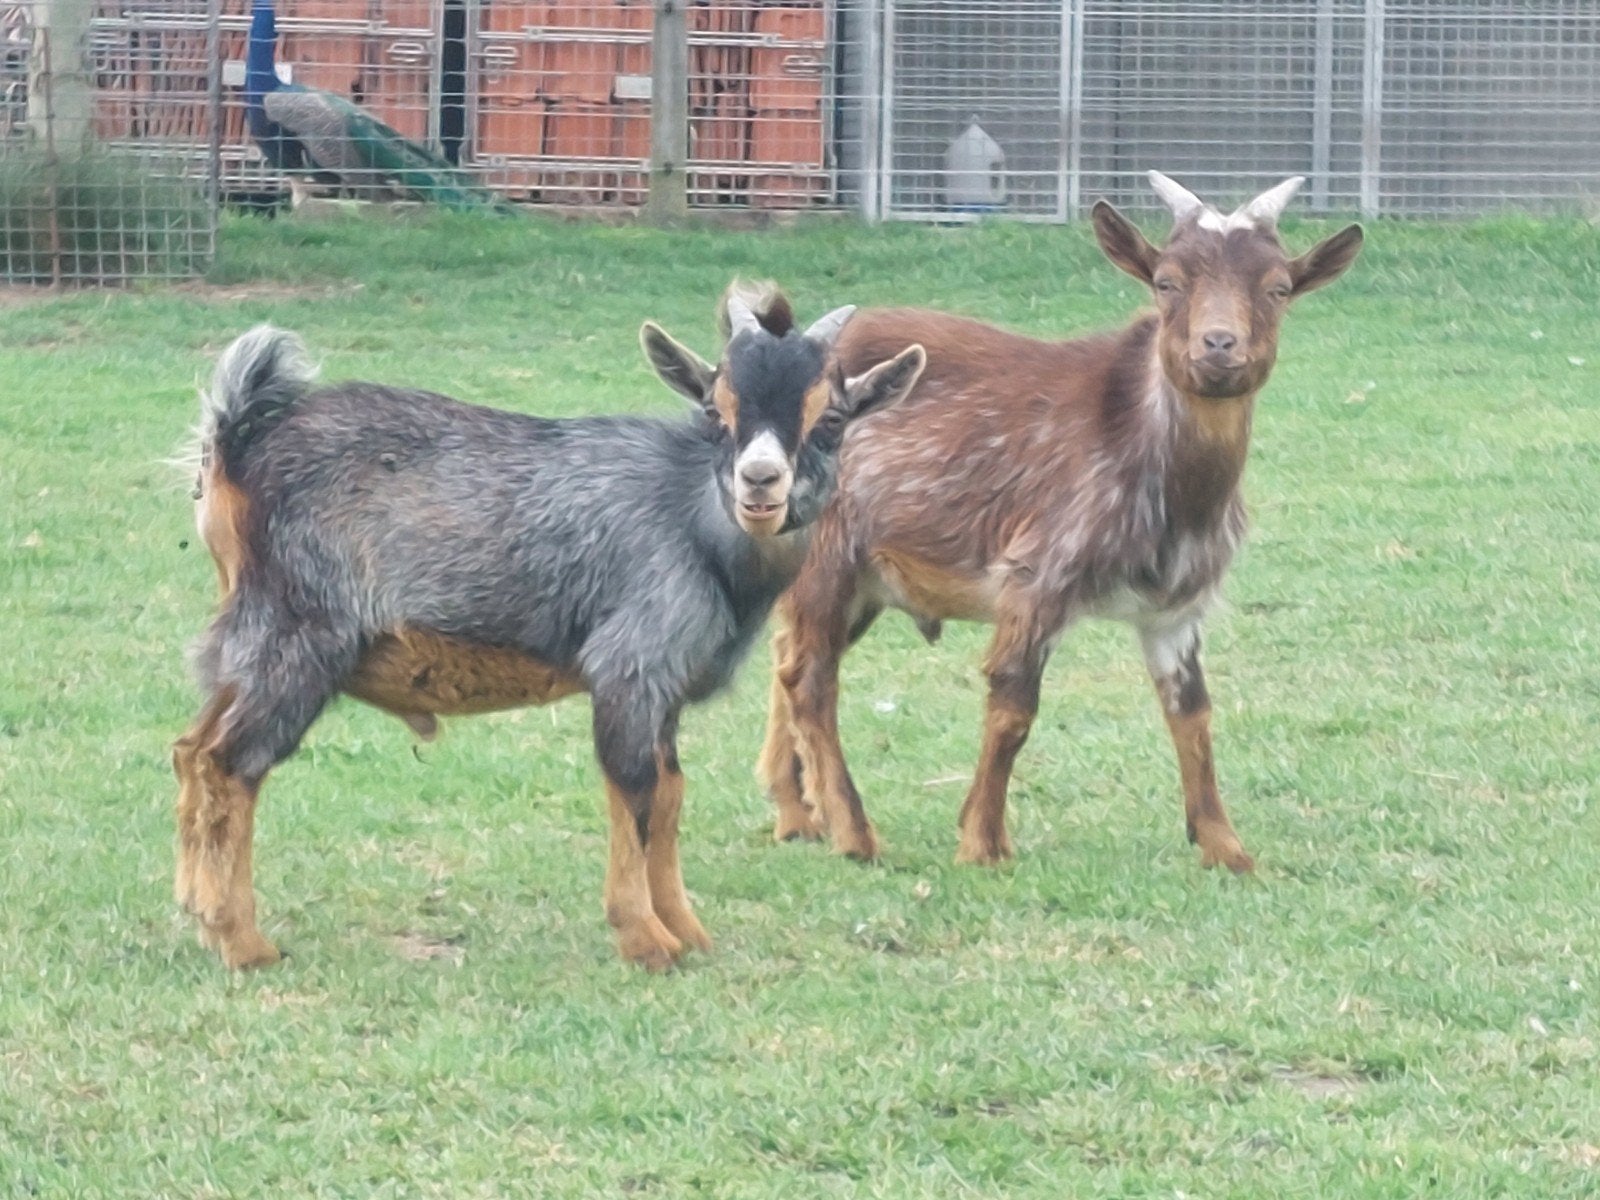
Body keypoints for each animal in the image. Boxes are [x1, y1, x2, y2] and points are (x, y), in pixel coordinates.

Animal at [172, 287, 926, 971]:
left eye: (831, 417)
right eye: (717, 409)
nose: (760, 482)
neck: (691, 521)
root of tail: (235, 441)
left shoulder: (667, 688)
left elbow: (670, 794)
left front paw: (687, 930)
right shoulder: (629, 664)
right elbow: (634, 790)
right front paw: (645, 939)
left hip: (247, 643)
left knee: (191, 747)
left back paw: (194, 908)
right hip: (299, 639)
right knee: (232, 762)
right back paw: (241, 941)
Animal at [758, 173, 1363, 872]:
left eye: (1279, 287)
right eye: (1167, 282)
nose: (1218, 345)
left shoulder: (1177, 607)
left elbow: (1192, 712)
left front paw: (1225, 847)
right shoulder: (1039, 572)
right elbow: (1014, 704)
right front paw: (982, 842)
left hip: (863, 582)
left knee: (788, 656)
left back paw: (799, 816)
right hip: (829, 550)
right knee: (809, 678)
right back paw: (855, 834)